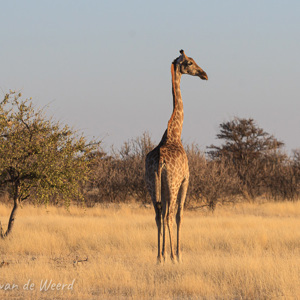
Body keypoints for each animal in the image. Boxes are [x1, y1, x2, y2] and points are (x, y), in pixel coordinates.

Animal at [146, 49, 207, 262]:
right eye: (189, 62)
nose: (204, 74)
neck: (174, 133)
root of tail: (160, 161)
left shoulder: (163, 186)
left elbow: (163, 214)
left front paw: (163, 253)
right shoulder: (185, 180)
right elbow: (180, 215)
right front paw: (178, 254)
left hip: (152, 184)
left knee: (158, 215)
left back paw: (159, 257)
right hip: (172, 183)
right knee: (169, 216)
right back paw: (172, 257)